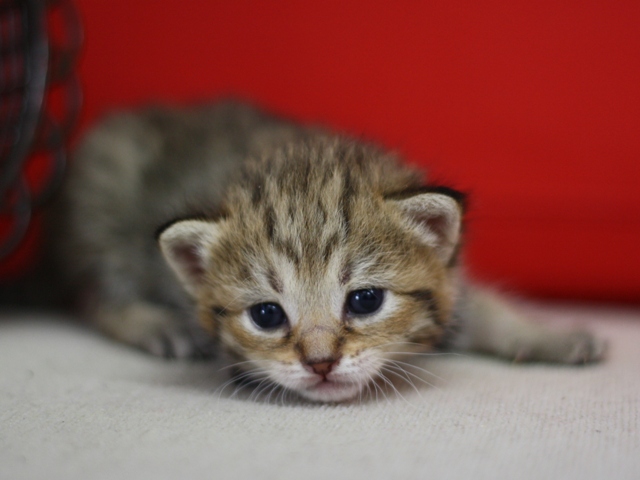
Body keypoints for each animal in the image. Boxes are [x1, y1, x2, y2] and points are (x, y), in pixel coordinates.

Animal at [53, 102, 604, 404]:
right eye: (267, 314)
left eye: (364, 301)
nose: (321, 364)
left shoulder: (453, 280)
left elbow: (487, 308)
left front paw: (551, 335)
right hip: (104, 200)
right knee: (91, 296)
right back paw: (153, 323)